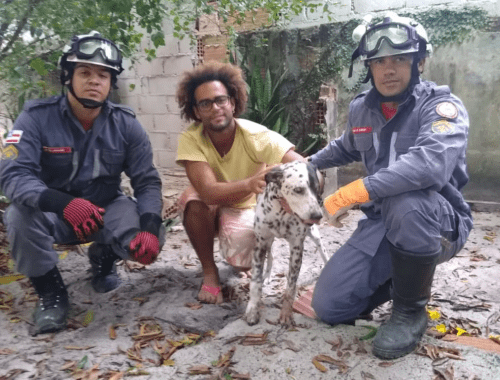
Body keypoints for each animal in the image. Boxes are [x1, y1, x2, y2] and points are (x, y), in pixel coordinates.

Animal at [245, 160, 328, 326]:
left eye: (317, 190)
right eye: (298, 190)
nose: (318, 216)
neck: (282, 213)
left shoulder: (297, 247)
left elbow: (291, 286)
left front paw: (286, 312)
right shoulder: (260, 243)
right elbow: (255, 282)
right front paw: (252, 310)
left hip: (314, 234)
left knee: (322, 250)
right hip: (268, 241)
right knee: (271, 256)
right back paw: (267, 275)